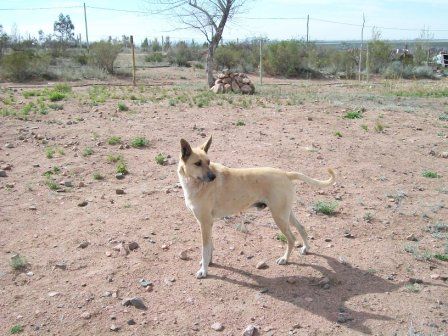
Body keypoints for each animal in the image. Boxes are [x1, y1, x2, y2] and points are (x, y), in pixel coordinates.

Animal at [177, 136, 334, 278]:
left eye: (208, 162)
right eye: (198, 163)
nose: (213, 177)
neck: (194, 182)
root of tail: (286, 174)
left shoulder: (204, 222)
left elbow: (205, 249)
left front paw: (204, 270)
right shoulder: (208, 223)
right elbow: (210, 246)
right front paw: (209, 263)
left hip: (278, 217)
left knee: (291, 238)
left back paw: (285, 259)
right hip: (286, 214)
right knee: (301, 227)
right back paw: (306, 248)